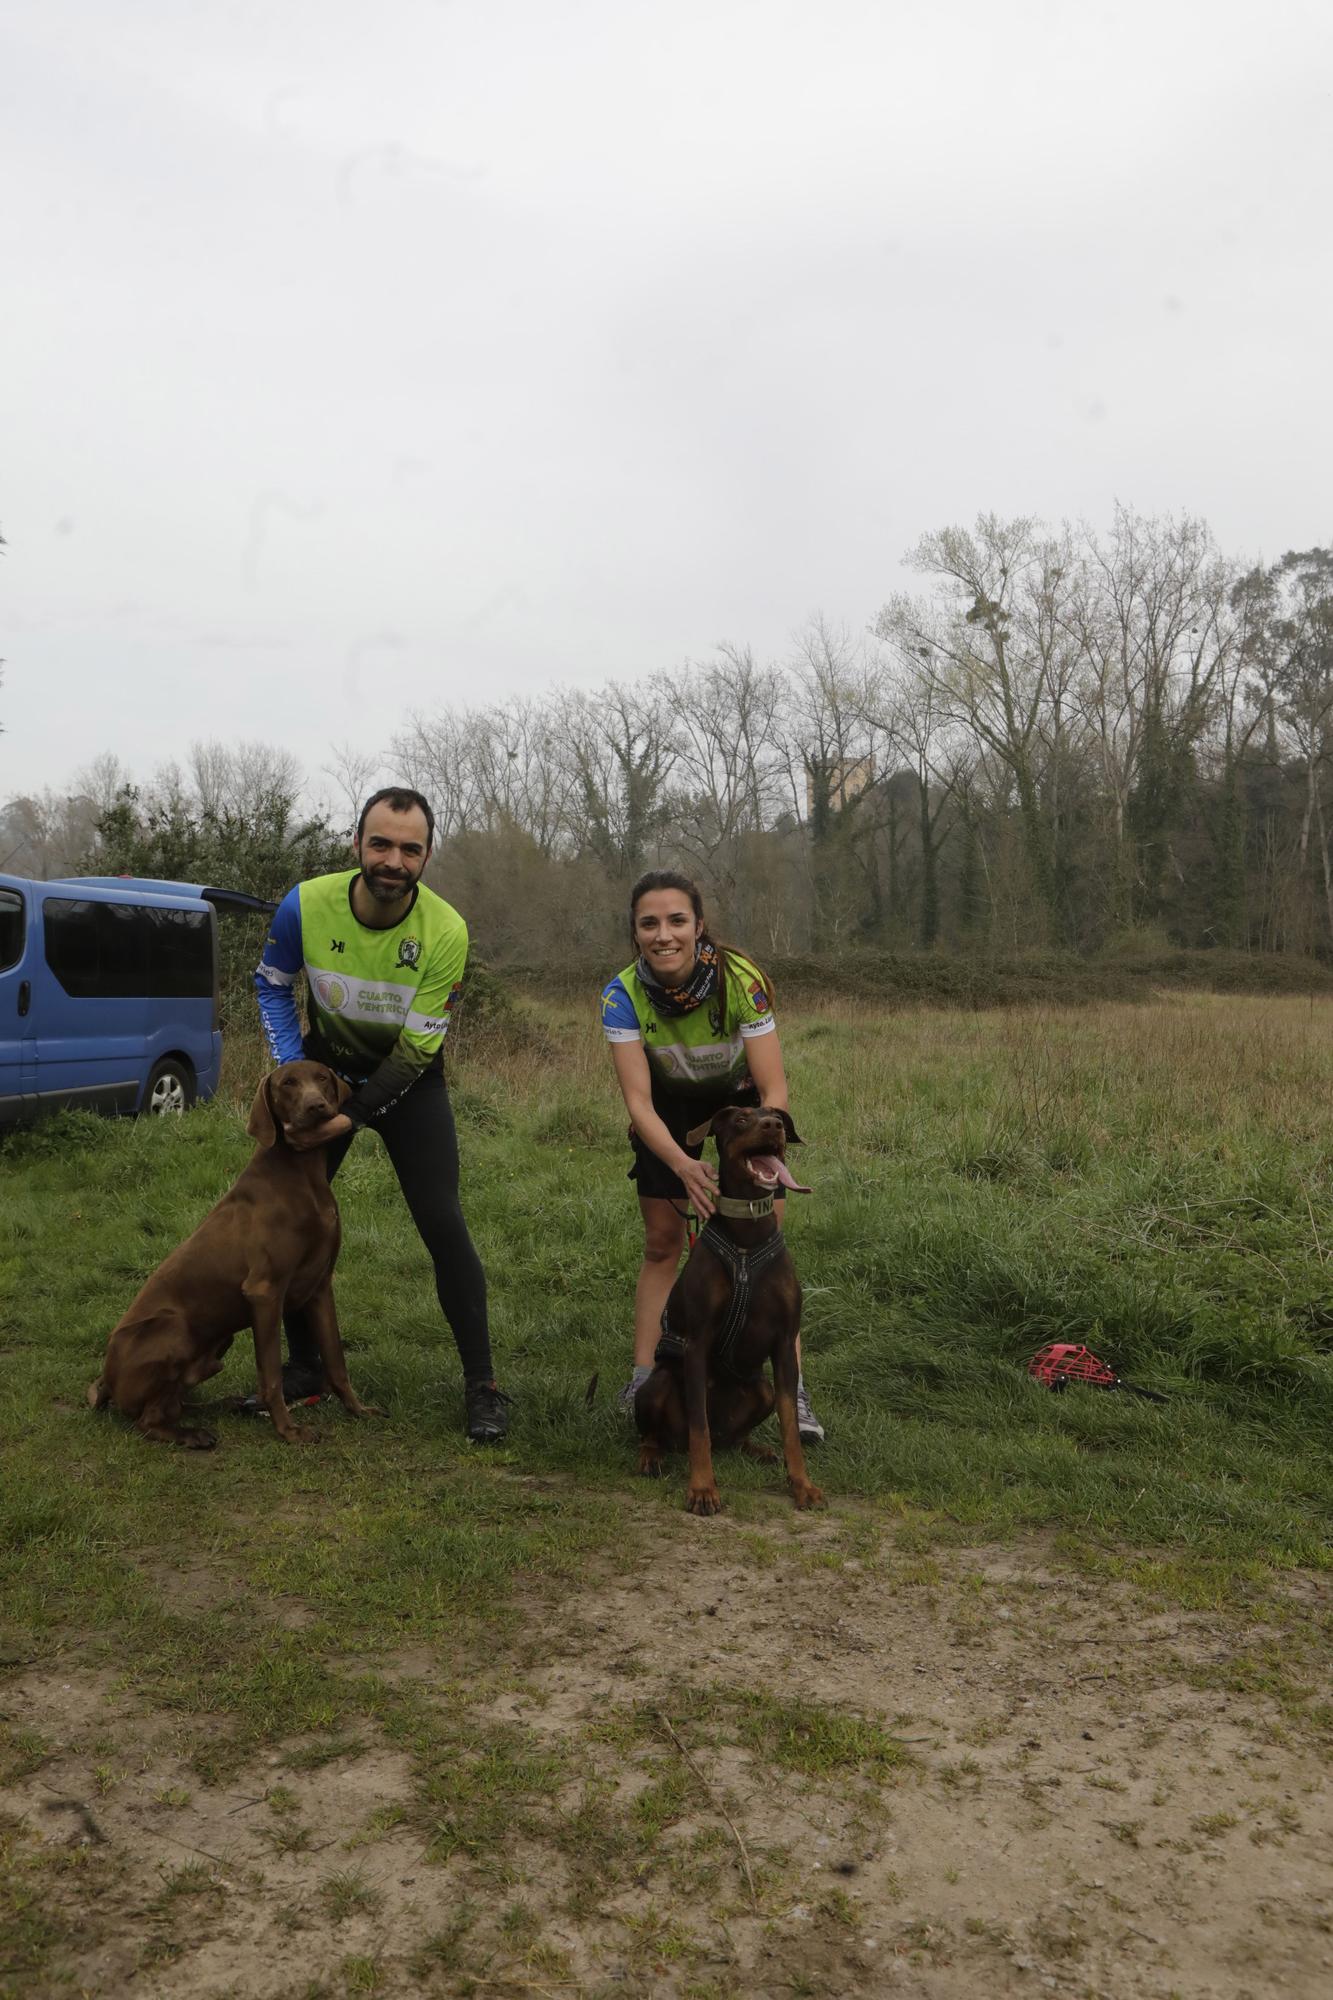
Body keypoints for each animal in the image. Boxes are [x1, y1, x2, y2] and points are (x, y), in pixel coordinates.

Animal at [87, 1064, 378, 1456]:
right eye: (288, 1083)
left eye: (322, 1078)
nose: (316, 1105)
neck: (302, 1175)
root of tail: (106, 1379)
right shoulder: (265, 1292)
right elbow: (270, 1374)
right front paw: (288, 1430)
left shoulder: (319, 1288)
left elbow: (336, 1361)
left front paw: (358, 1409)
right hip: (175, 1330)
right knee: (148, 1421)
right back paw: (192, 1434)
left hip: (218, 1343)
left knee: (176, 1403)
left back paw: (223, 1405)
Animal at [632, 1104, 820, 1504]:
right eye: (741, 1119)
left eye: (777, 1117)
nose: (774, 1125)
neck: (747, 1238)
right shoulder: (697, 1343)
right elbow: (698, 1427)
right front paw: (703, 1488)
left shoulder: (784, 1344)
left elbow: (790, 1427)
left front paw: (802, 1484)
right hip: (657, 1385)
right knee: (664, 1434)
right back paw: (651, 1456)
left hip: (762, 1390)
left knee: (734, 1437)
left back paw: (756, 1449)